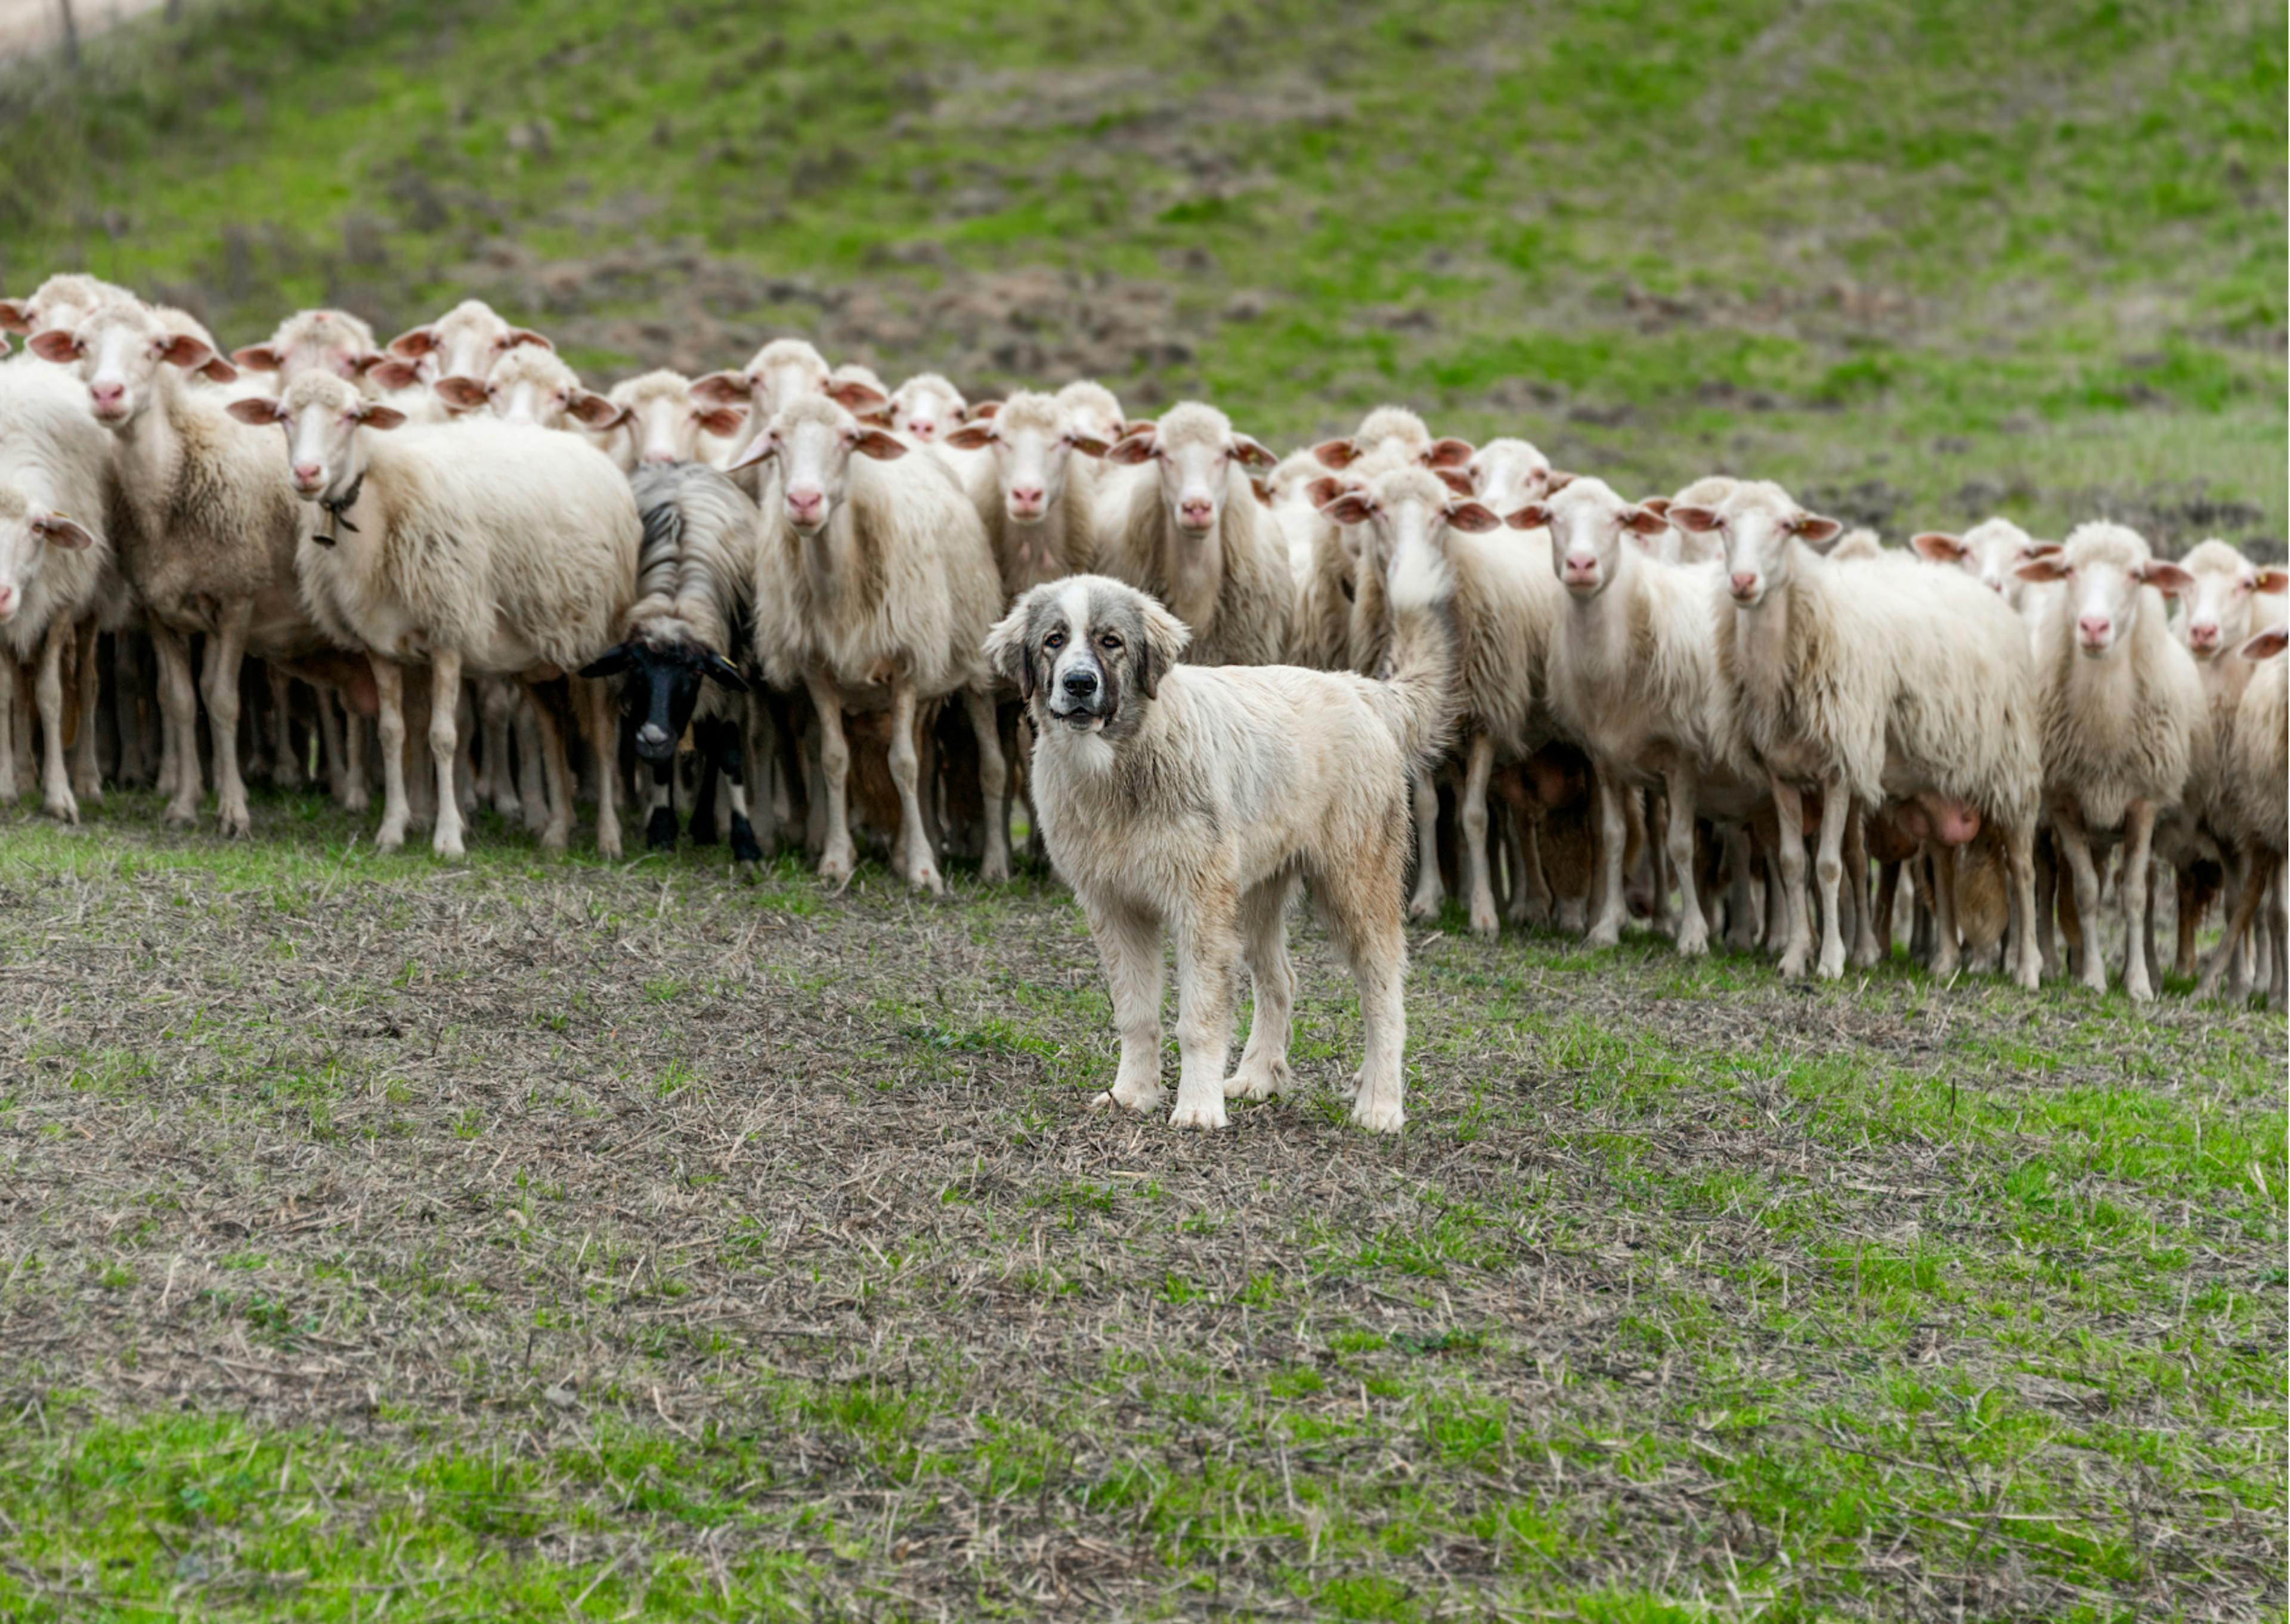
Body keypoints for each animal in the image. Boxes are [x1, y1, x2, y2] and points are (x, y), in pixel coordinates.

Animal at [732, 398, 1012, 893]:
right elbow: (833, 758)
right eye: (776, 438)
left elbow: (903, 764)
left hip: (969, 668)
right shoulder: (818, 670)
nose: (803, 502)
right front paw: (836, 859)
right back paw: (902, 848)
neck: (837, 578)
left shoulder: (905, 666)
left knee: (987, 765)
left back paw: (992, 865)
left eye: (849, 438)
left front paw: (923, 871)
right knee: (921, 750)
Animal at [980, 481, 1474, 1127]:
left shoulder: (1198, 908)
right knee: (1281, 979)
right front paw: (1132, 1093)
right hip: (1258, 894)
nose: (1080, 684)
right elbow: (1135, 1014)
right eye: (1053, 642)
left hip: (1354, 888)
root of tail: (1359, 688)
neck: (1119, 768)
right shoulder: (1115, 907)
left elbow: (1199, 1018)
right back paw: (1259, 1077)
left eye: (1111, 643)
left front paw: (1196, 1107)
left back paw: (1380, 1104)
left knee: (1384, 992)